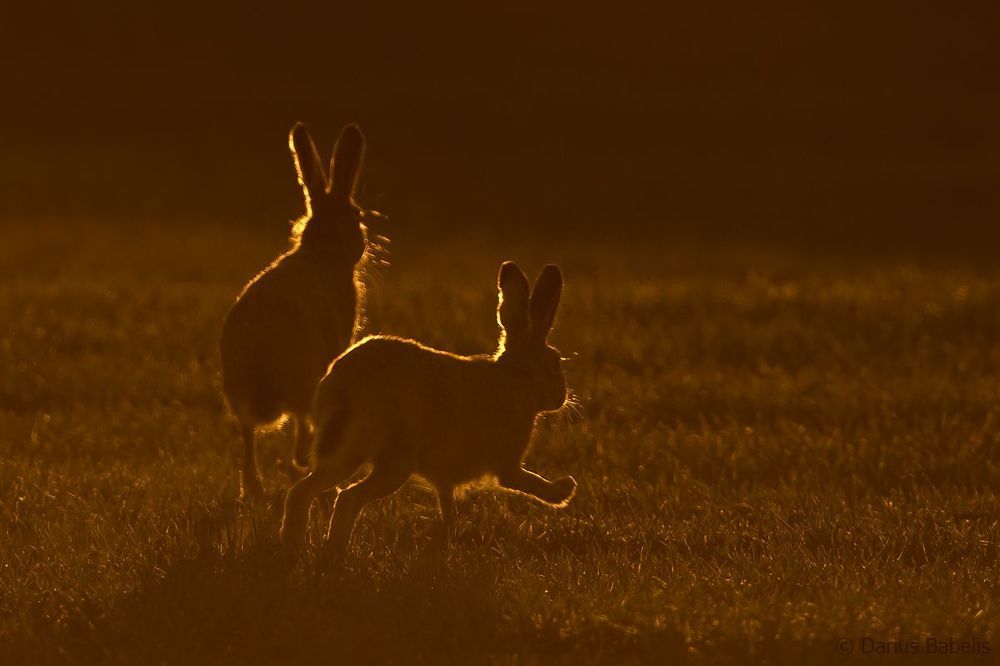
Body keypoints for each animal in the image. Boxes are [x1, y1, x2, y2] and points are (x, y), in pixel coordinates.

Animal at [220, 122, 378, 500]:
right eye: (358, 216)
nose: (365, 243)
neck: (322, 249)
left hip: (238, 394)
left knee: (248, 437)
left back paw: (254, 491)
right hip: (308, 379)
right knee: (303, 427)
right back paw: (305, 467)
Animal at [280, 261, 577, 554]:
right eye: (554, 364)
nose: (561, 398)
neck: (517, 376)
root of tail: (346, 384)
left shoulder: (445, 478)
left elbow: (447, 506)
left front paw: (447, 541)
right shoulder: (507, 461)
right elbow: (523, 481)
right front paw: (565, 490)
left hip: (345, 452)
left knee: (303, 491)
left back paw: (294, 546)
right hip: (394, 459)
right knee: (347, 497)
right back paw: (334, 552)